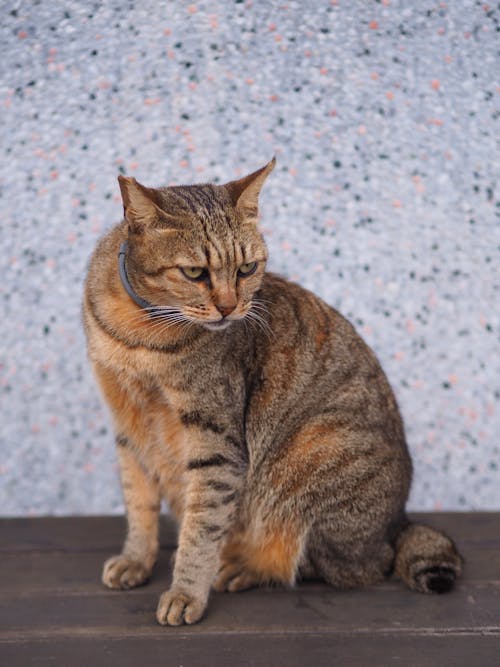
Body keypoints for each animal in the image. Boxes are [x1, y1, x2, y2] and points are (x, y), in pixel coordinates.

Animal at [84, 158, 462, 628]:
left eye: (247, 269)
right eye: (195, 273)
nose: (230, 307)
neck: (141, 335)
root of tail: (399, 521)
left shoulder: (217, 442)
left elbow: (201, 527)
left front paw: (186, 592)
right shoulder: (128, 427)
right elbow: (139, 505)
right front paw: (136, 560)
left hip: (313, 448)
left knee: (346, 566)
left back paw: (241, 567)